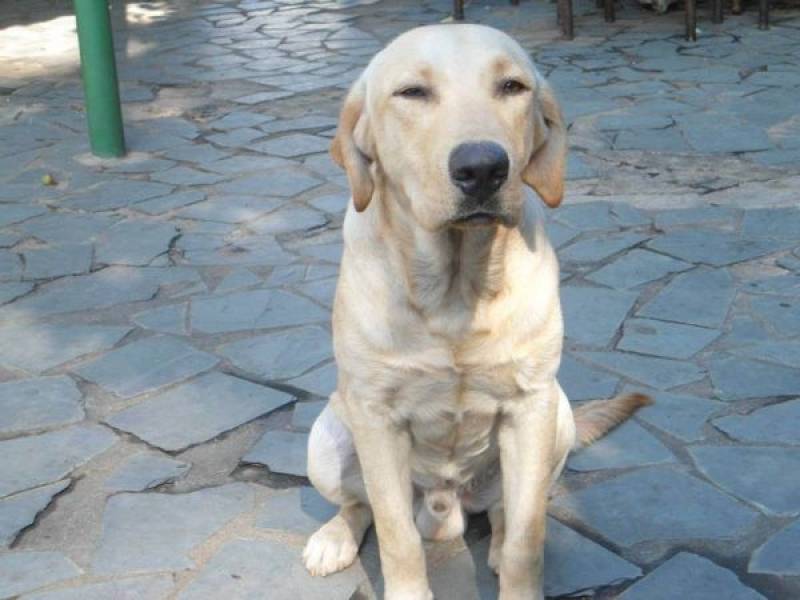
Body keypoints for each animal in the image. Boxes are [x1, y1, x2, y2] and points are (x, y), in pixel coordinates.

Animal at [304, 24, 648, 600]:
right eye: (412, 93)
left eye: (512, 86)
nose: (483, 167)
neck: (456, 290)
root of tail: (447, 511)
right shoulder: (376, 417)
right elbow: (395, 536)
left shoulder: (530, 407)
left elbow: (526, 539)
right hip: (326, 439)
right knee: (361, 504)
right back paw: (335, 536)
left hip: (557, 416)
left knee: (512, 513)